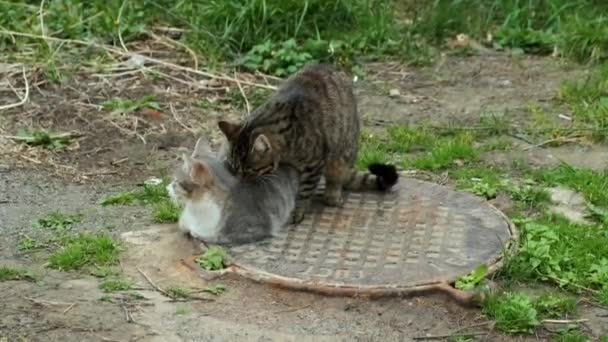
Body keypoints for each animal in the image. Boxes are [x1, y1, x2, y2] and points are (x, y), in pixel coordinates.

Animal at [166, 137, 300, 246]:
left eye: (175, 181)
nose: (167, 188)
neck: (196, 207)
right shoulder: (184, 222)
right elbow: (183, 226)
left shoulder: (254, 229)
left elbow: (214, 237)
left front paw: (198, 234)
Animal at [218, 62, 400, 223]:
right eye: (233, 167)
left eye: (248, 170)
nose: (239, 181)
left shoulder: (314, 163)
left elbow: (305, 191)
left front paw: (298, 211)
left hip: (340, 158)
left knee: (336, 180)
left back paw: (332, 196)